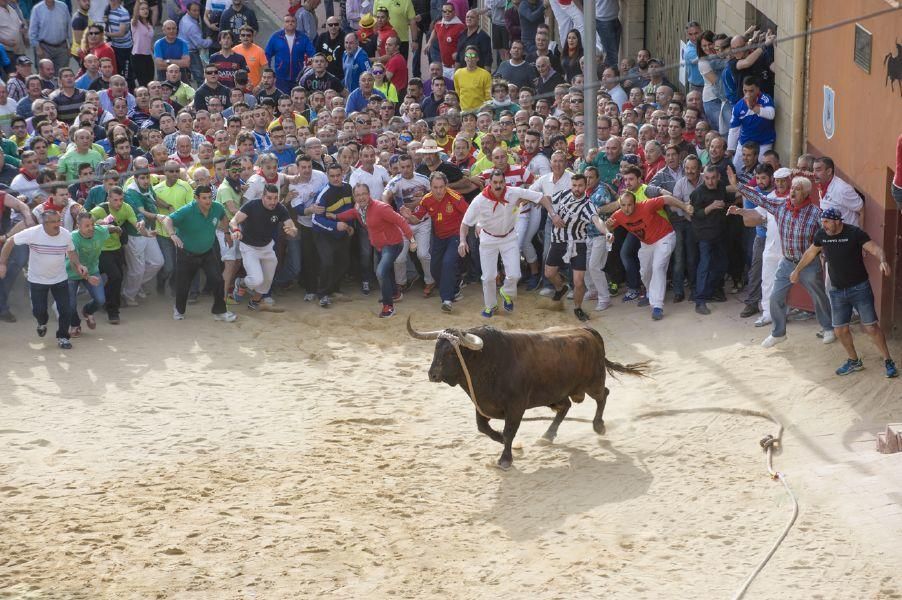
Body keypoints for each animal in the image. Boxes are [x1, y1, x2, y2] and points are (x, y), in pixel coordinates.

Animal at [410, 316, 648, 472]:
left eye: (451, 352)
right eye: (435, 349)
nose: (432, 374)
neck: (487, 361)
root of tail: (587, 331)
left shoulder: (516, 407)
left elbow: (510, 432)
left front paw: (505, 459)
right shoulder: (483, 404)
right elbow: (484, 428)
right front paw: (499, 439)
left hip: (593, 382)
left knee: (603, 395)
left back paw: (598, 426)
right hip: (555, 393)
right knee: (566, 407)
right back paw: (548, 435)